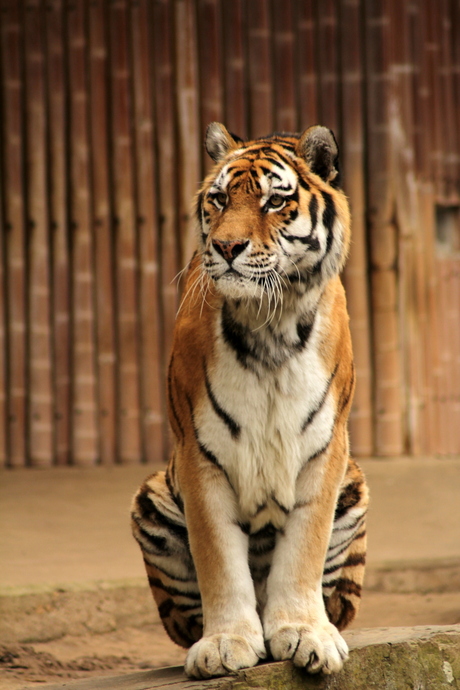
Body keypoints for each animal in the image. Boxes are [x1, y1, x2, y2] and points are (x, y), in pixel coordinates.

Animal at [131, 122, 368, 676]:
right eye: (219, 199)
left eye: (273, 201)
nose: (227, 246)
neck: (270, 323)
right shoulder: (199, 453)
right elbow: (219, 558)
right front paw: (225, 643)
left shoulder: (326, 449)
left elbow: (303, 548)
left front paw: (305, 632)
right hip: (153, 500)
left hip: (354, 490)